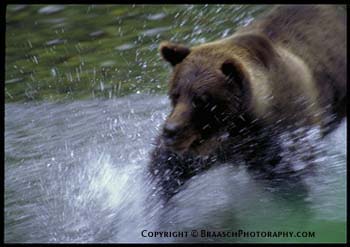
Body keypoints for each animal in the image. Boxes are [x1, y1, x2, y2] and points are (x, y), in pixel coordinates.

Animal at [147, 4, 344, 202]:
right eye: (175, 94)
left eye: (202, 100)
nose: (170, 131)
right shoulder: (213, 144)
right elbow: (170, 168)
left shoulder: (284, 134)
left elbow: (290, 175)